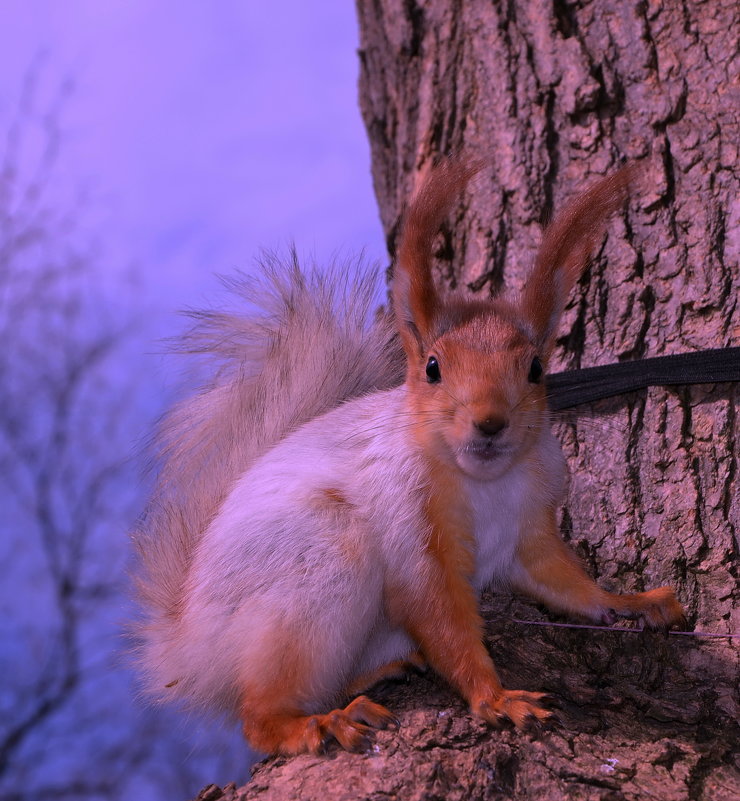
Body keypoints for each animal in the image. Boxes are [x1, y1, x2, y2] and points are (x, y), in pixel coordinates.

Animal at [130, 159, 684, 752]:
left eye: (536, 368)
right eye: (433, 367)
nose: (490, 422)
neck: (485, 483)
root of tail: (186, 645)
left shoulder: (530, 526)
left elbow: (564, 583)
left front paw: (636, 602)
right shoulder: (409, 523)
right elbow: (439, 614)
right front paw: (495, 698)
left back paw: (381, 672)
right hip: (316, 570)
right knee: (259, 716)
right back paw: (320, 721)